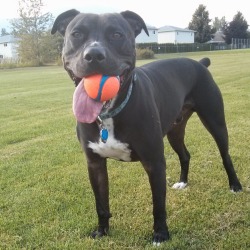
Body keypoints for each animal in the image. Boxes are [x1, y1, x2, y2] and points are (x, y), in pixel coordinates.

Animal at [51, 9, 242, 242]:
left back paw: (235, 185)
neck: (110, 113)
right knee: (185, 155)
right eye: (77, 34)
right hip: (175, 131)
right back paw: (183, 182)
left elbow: (158, 204)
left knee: (225, 155)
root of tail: (200, 62)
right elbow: (101, 204)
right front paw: (102, 231)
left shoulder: (154, 162)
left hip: (215, 122)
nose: (94, 54)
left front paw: (161, 234)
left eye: (117, 35)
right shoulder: (95, 164)